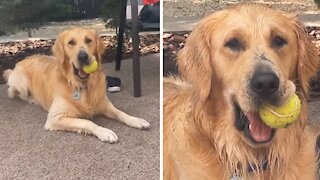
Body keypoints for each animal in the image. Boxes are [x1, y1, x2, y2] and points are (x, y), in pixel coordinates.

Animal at [2, 27, 150, 143]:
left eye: (88, 40)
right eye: (71, 43)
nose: (83, 56)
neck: (82, 85)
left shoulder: (104, 104)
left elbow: (120, 113)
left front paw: (136, 120)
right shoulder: (55, 118)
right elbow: (87, 122)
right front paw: (104, 132)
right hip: (21, 83)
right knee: (15, 92)